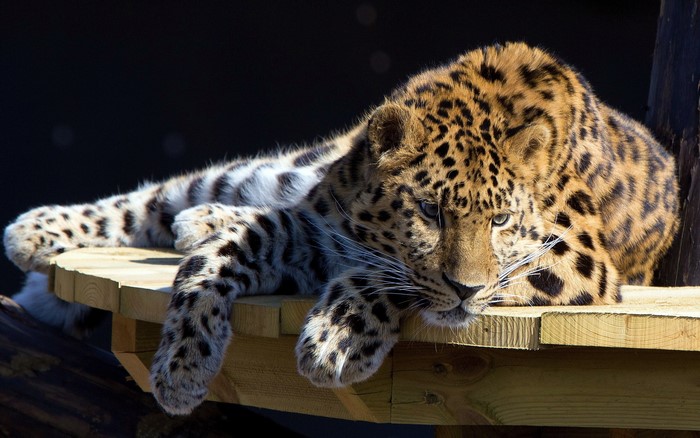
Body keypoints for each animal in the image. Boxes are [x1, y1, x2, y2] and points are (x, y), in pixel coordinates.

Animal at [3, 42, 680, 416]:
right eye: (430, 212)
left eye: (500, 220)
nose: (465, 292)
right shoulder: (317, 230)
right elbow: (222, 256)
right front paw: (182, 364)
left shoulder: (577, 262)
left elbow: (390, 278)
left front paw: (336, 339)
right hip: (273, 173)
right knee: (170, 194)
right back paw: (37, 231)